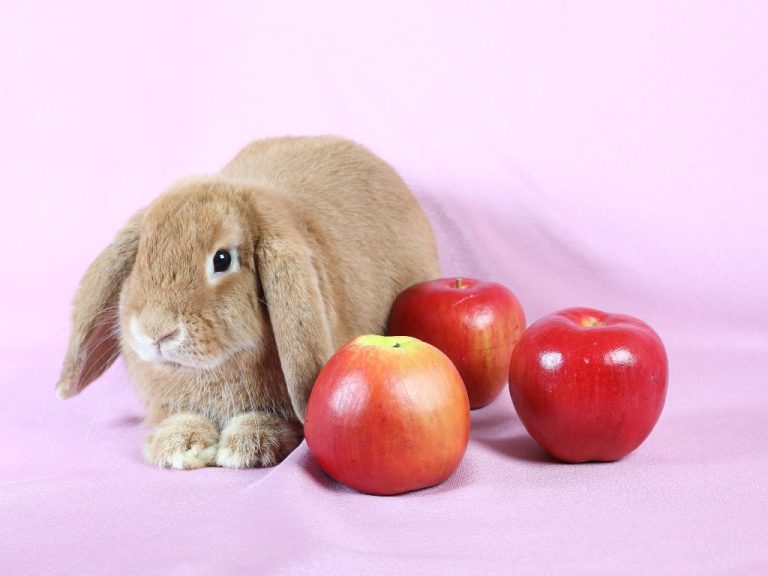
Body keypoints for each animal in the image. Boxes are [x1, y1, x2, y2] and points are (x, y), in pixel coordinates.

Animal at [55, 137, 438, 470]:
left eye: (222, 259)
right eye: (139, 260)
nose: (156, 332)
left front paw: (247, 446)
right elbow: (179, 417)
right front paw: (179, 445)